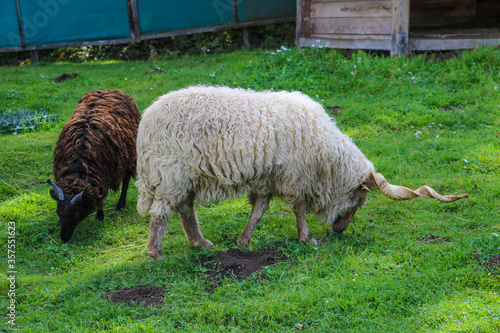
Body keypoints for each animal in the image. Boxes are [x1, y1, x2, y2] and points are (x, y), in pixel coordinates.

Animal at [47, 90, 140, 241]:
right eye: (58, 212)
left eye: (77, 214)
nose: (64, 238)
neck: (79, 165)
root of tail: (110, 91)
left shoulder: (101, 177)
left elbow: (99, 197)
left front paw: (100, 216)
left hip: (129, 155)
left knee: (126, 178)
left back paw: (120, 204)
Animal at [135, 85, 466, 260]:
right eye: (359, 200)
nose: (339, 230)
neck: (329, 156)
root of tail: (147, 120)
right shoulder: (297, 177)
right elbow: (300, 209)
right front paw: (307, 238)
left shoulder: (269, 178)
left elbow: (259, 210)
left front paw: (244, 241)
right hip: (171, 174)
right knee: (161, 214)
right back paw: (155, 253)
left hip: (185, 178)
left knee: (185, 209)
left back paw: (200, 243)